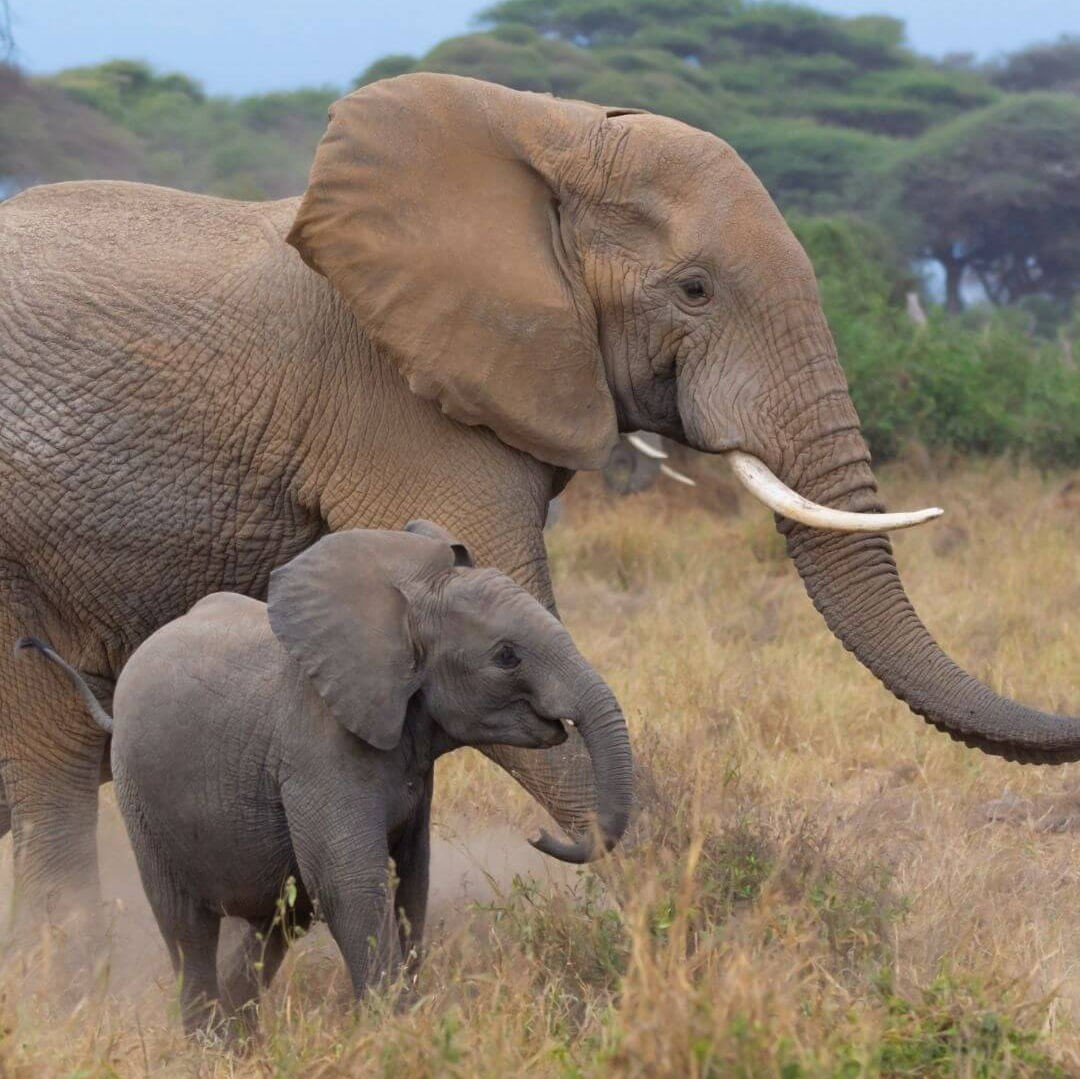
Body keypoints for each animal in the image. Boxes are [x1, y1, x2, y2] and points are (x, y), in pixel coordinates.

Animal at [15, 519, 632, 1033]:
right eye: (506, 656)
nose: (538, 835)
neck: (402, 608)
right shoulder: (317, 751)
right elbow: (352, 888)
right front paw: (394, 1038)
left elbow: (412, 883)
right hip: (141, 798)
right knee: (187, 928)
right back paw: (208, 1048)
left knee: (273, 924)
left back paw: (242, 1044)